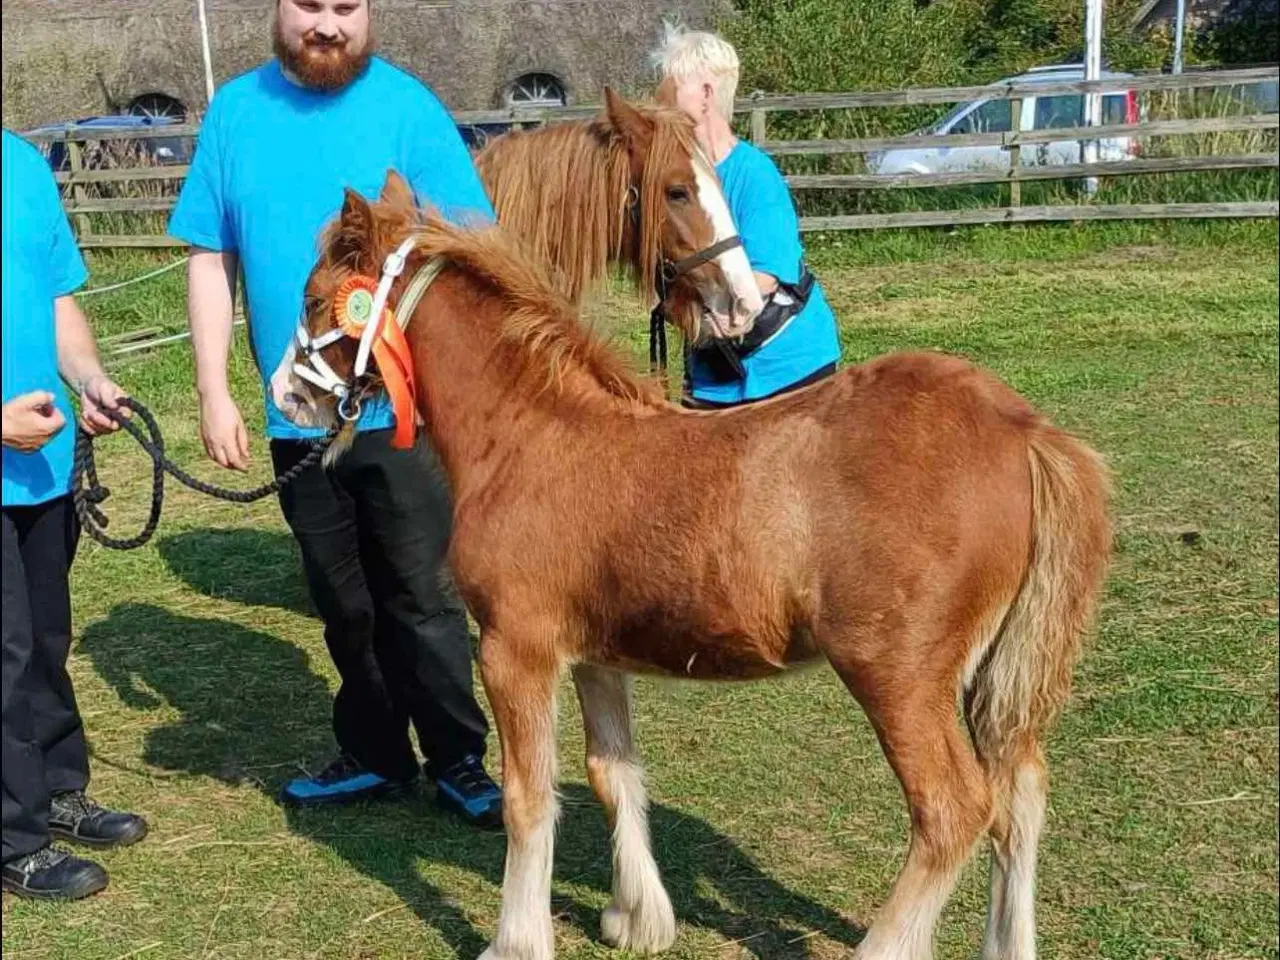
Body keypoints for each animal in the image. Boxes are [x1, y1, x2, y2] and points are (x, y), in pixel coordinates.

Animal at [272, 175, 1111, 960]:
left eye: (314, 300)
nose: (285, 395)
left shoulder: (515, 648)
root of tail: (1024, 431)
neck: (527, 437)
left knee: (954, 809)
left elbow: (528, 799)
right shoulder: (594, 653)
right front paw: (636, 918)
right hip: (993, 669)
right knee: (1021, 794)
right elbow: (613, 772)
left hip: (898, 672)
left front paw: (515, 939)